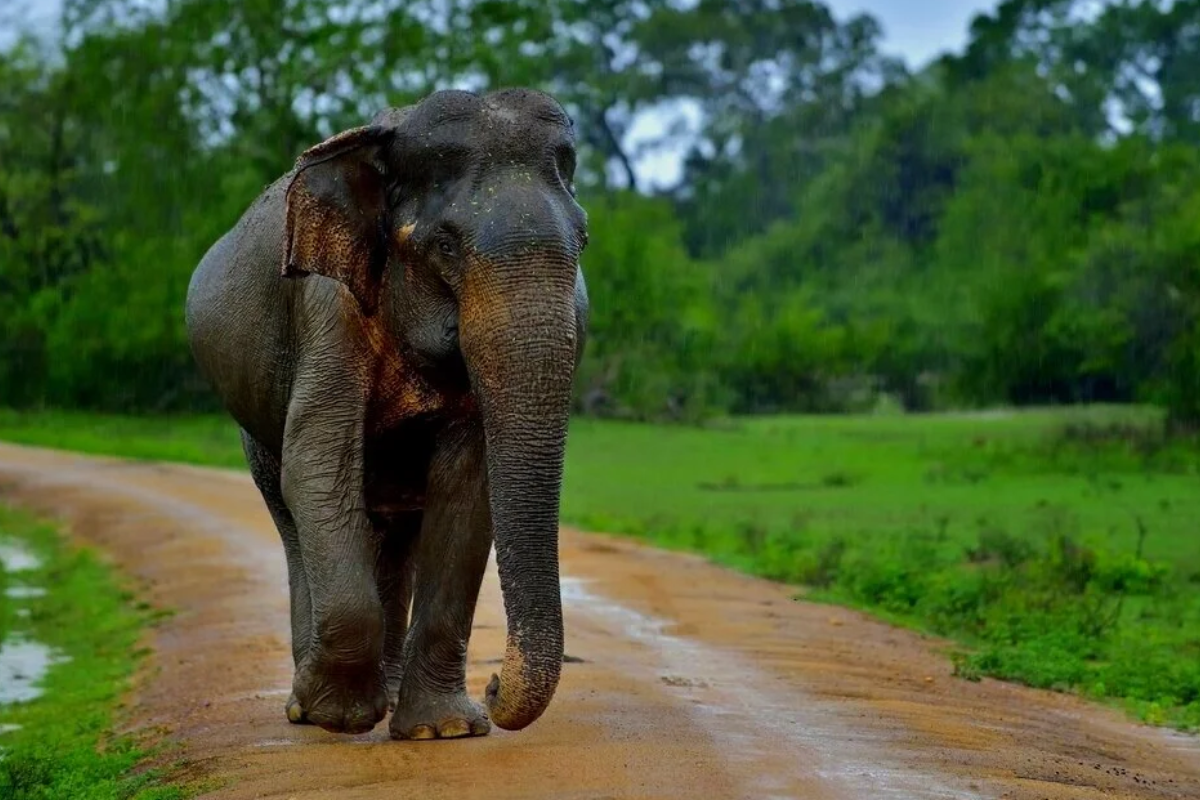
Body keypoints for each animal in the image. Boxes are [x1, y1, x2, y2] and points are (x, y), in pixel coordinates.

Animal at [184, 87, 589, 740]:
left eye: (584, 242)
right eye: (445, 244)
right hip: (254, 427)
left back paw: (391, 695)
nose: (493, 685)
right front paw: (340, 717)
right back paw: (305, 705)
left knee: (397, 534)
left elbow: (466, 488)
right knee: (291, 508)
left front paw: (443, 729)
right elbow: (317, 464)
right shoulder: (327, 305)